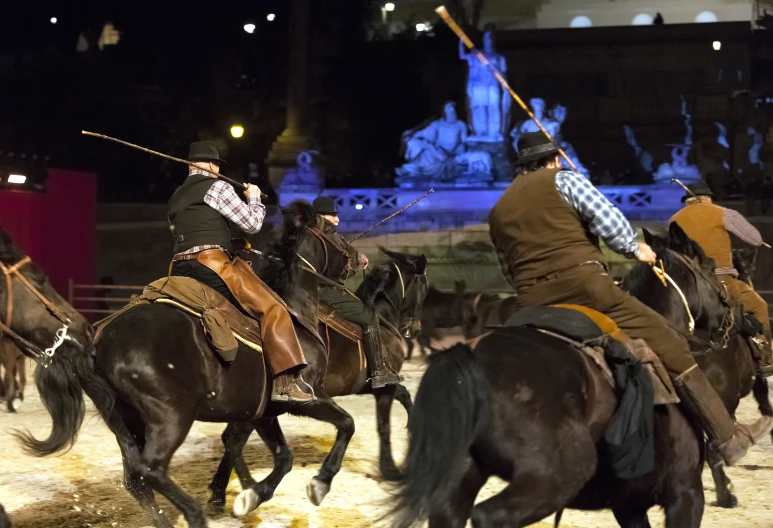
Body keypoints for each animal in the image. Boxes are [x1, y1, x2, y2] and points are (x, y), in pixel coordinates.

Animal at [392, 224, 740, 528]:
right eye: (710, 266)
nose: (730, 316)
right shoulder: (685, 494)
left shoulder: (629, 507)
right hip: (551, 479)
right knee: (491, 516)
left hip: (461, 477)